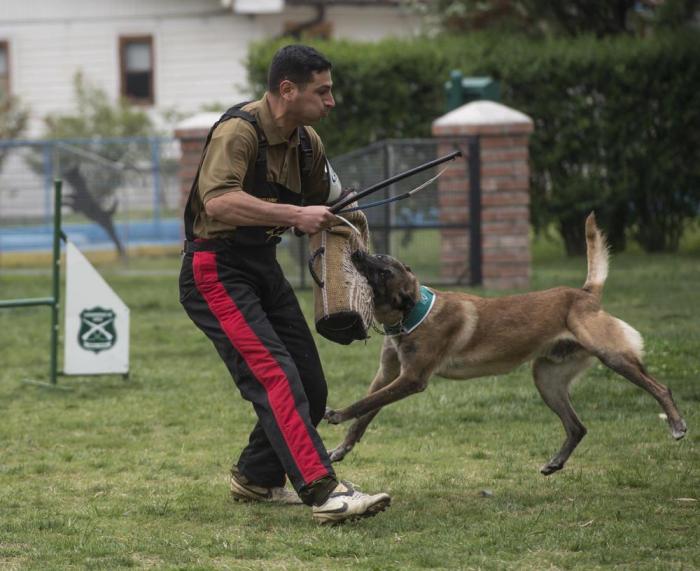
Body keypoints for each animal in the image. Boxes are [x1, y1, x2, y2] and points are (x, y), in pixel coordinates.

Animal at [326, 212, 688, 476]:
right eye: (377, 257)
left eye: (383, 272)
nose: (356, 252)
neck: (411, 314)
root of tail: (584, 295)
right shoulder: (389, 375)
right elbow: (366, 414)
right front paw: (341, 448)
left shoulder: (412, 379)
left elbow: (363, 403)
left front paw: (337, 413)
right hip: (546, 378)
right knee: (578, 427)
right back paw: (556, 462)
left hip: (612, 355)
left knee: (660, 387)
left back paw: (677, 424)